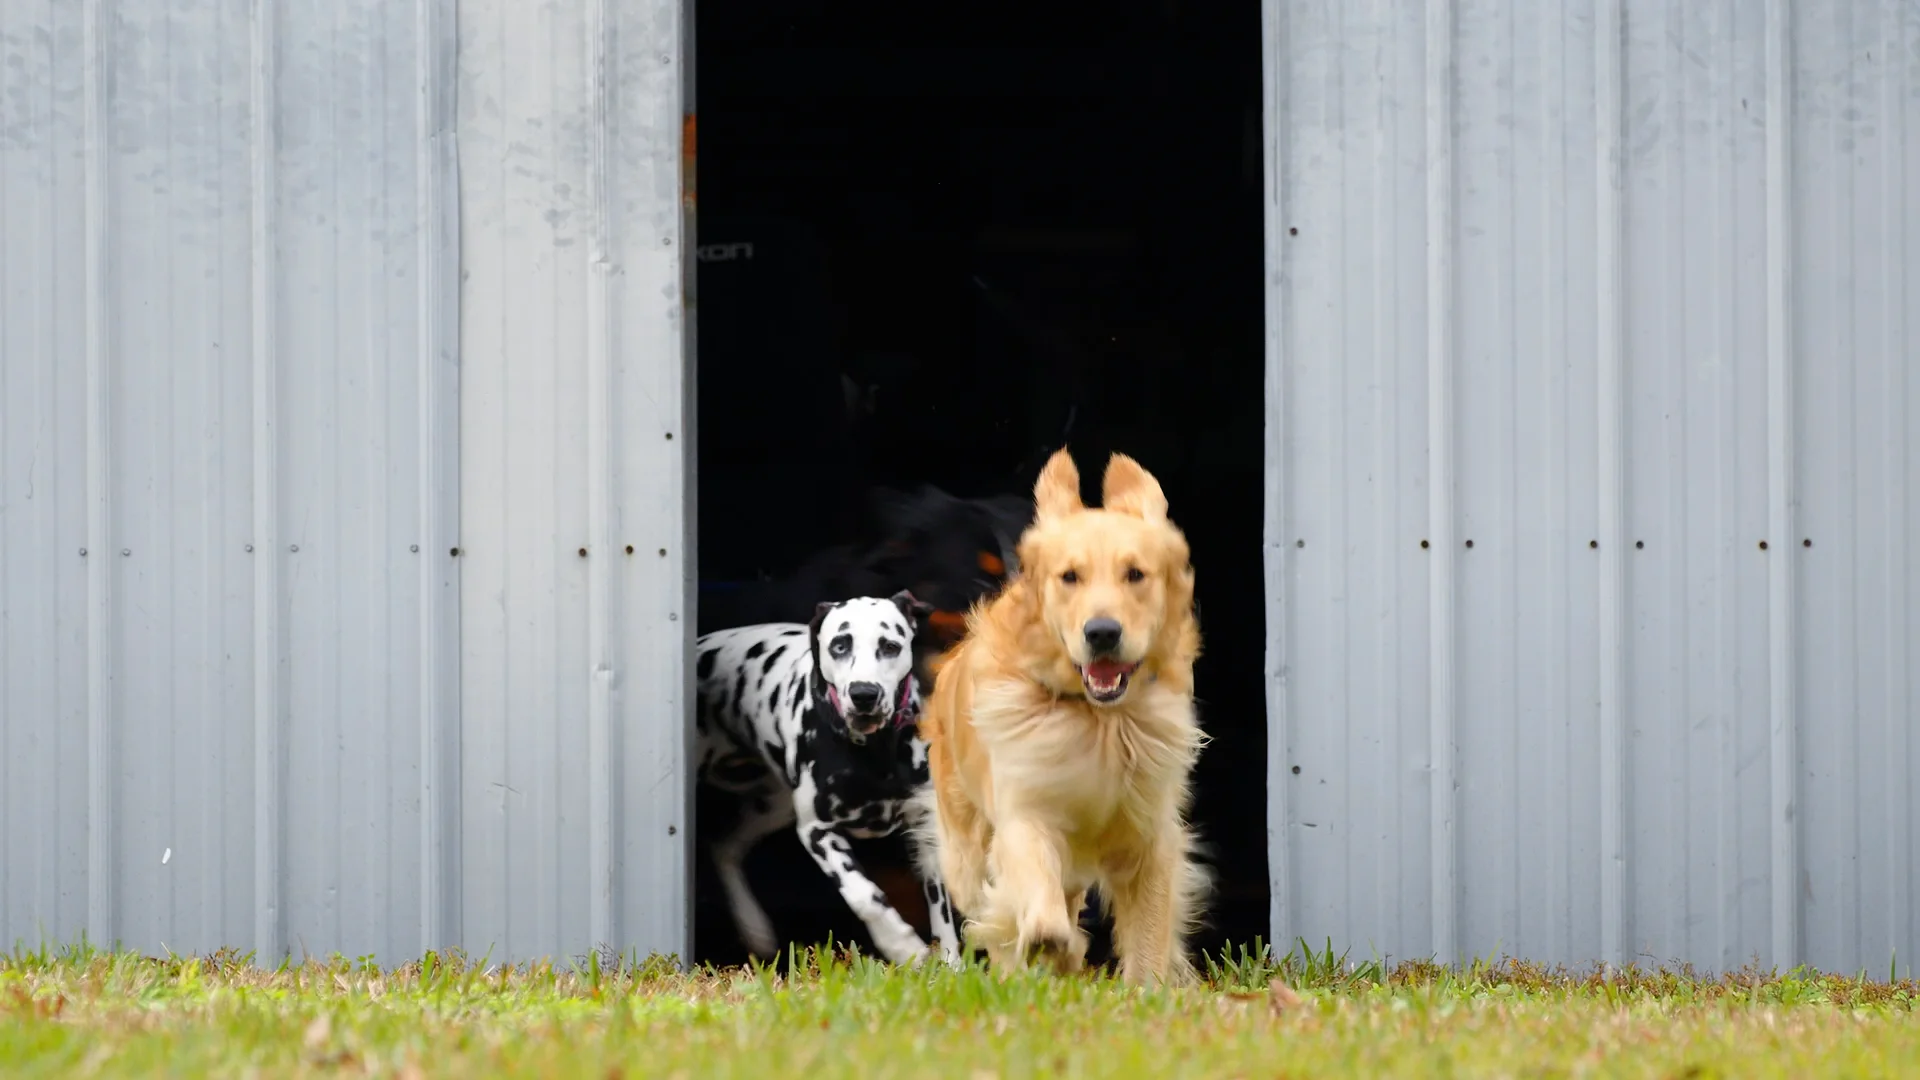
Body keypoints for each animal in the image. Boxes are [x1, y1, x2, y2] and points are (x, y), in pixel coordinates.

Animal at [695, 588, 960, 968]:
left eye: (890, 646)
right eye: (840, 645)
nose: (864, 694)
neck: (874, 752)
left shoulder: (926, 828)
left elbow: (942, 910)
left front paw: (952, 966)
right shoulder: (817, 831)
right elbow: (864, 895)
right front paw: (901, 945)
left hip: (772, 807)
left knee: (725, 846)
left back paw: (755, 928)